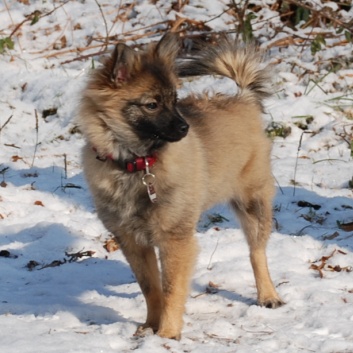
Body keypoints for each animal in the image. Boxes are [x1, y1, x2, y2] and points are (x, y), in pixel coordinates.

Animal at [77, 32, 284, 338]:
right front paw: (150, 326)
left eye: (175, 100)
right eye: (152, 104)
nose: (185, 128)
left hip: (252, 203)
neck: (137, 164)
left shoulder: (174, 238)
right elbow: (151, 289)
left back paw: (268, 296)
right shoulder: (132, 241)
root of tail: (243, 100)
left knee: (256, 253)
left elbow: (171, 289)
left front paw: (167, 334)